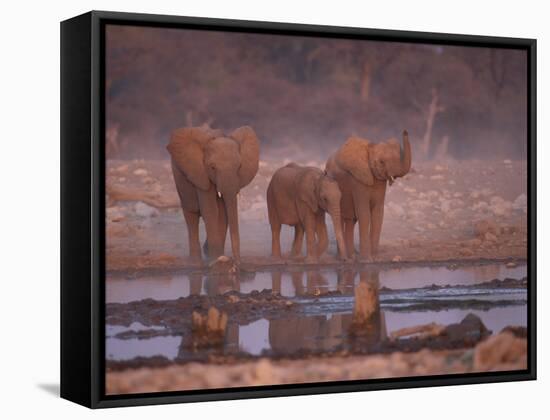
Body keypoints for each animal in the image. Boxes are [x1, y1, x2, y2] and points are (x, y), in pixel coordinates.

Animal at [168, 125, 260, 262]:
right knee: (191, 215)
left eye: (239, 167)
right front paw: (215, 259)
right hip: (180, 180)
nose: (238, 262)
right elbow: (210, 210)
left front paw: (218, 257)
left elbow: (222, 213)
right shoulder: (200, 172)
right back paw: (195, 261)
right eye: (212, 167)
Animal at [326, 130, 412, 260]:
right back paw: (343, 258)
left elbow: (378, 213)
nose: (405, 131)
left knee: (351, 220)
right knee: (341, 219)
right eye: (381, 162)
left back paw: (352, 256)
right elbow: (364, 213)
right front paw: (366, 259)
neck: (372, 147)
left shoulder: (380, 182)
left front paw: (375, 258)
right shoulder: (357, 180)